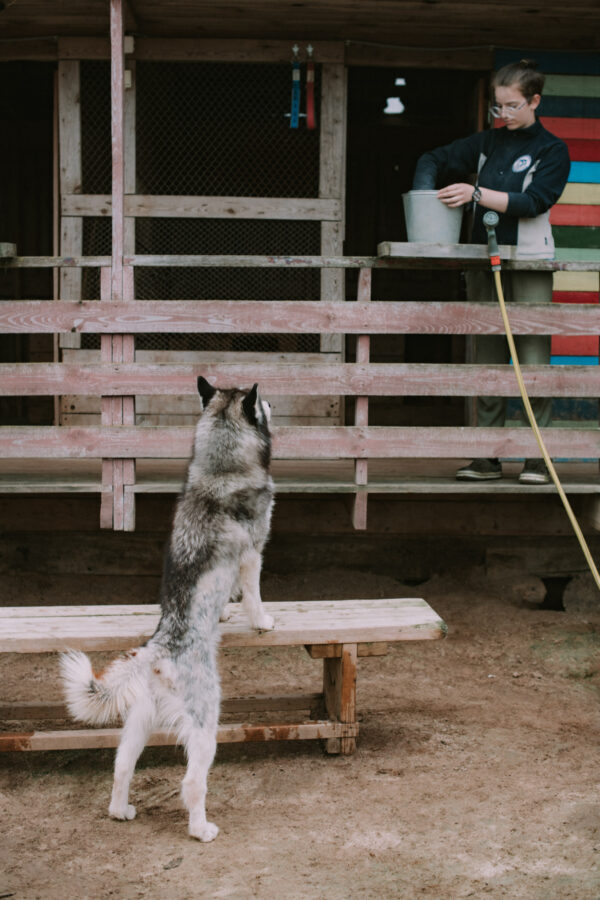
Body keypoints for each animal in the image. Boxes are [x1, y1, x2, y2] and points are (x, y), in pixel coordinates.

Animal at [61, 377, 275, 841]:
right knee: (192, 782)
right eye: (259, 400)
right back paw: (201, 829)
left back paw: (120, 810)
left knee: (121, 766)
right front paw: (262, 622)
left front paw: (226, 614)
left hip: (139, 721)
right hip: (206, 722)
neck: (220, 469)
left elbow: (232, 594)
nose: (271, 400)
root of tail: (158, 649)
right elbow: (252, 593)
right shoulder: (253, 553)